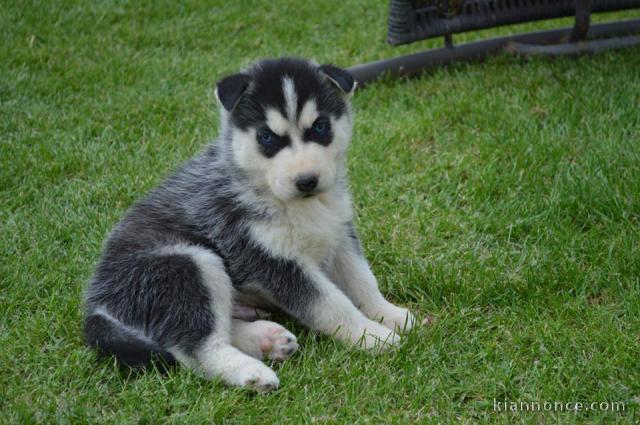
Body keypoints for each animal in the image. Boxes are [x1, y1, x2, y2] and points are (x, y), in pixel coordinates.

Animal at [84, 57, 416, 390]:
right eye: (267, 137)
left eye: (320, 127)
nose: (306, 181)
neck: (296, 205)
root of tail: (97, 303)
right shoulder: (268, 257)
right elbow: (331, 304)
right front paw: (372, 335)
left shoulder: (339, 233)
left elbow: (362, 281)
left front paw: (391, 314)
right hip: (187, 263)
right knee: (194, 348)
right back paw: (251, 372)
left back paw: (266, 339)